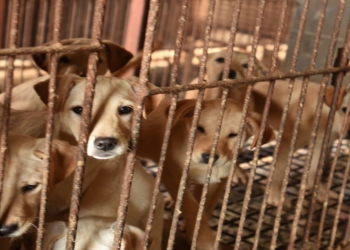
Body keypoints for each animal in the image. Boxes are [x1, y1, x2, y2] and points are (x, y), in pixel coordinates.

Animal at [137, 97, 276, 248]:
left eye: (233, 135)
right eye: (200, 128)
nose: (209, 157)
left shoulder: (214, 182)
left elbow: (204, 207)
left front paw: (192, 232)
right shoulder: (173, 175)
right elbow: (191, 206)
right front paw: (204, 240)